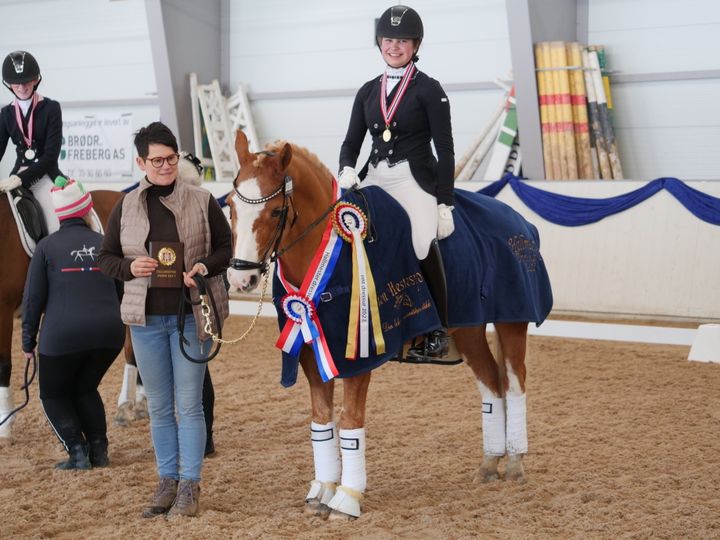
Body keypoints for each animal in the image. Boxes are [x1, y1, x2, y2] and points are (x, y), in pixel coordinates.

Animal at [225, 130, 552, 520]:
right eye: (230, 206)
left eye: (275, 211)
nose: (240, 278)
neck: (329, 248)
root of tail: (520, 222)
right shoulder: (310, 354)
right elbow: (321, 423)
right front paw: (322, 491)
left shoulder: (358, 356)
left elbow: (350, 422)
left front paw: (347, 498)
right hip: (469, 328)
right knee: (491, 384)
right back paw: (490, 463)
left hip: (512, 320)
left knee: (515, 384)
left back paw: (514, 463)